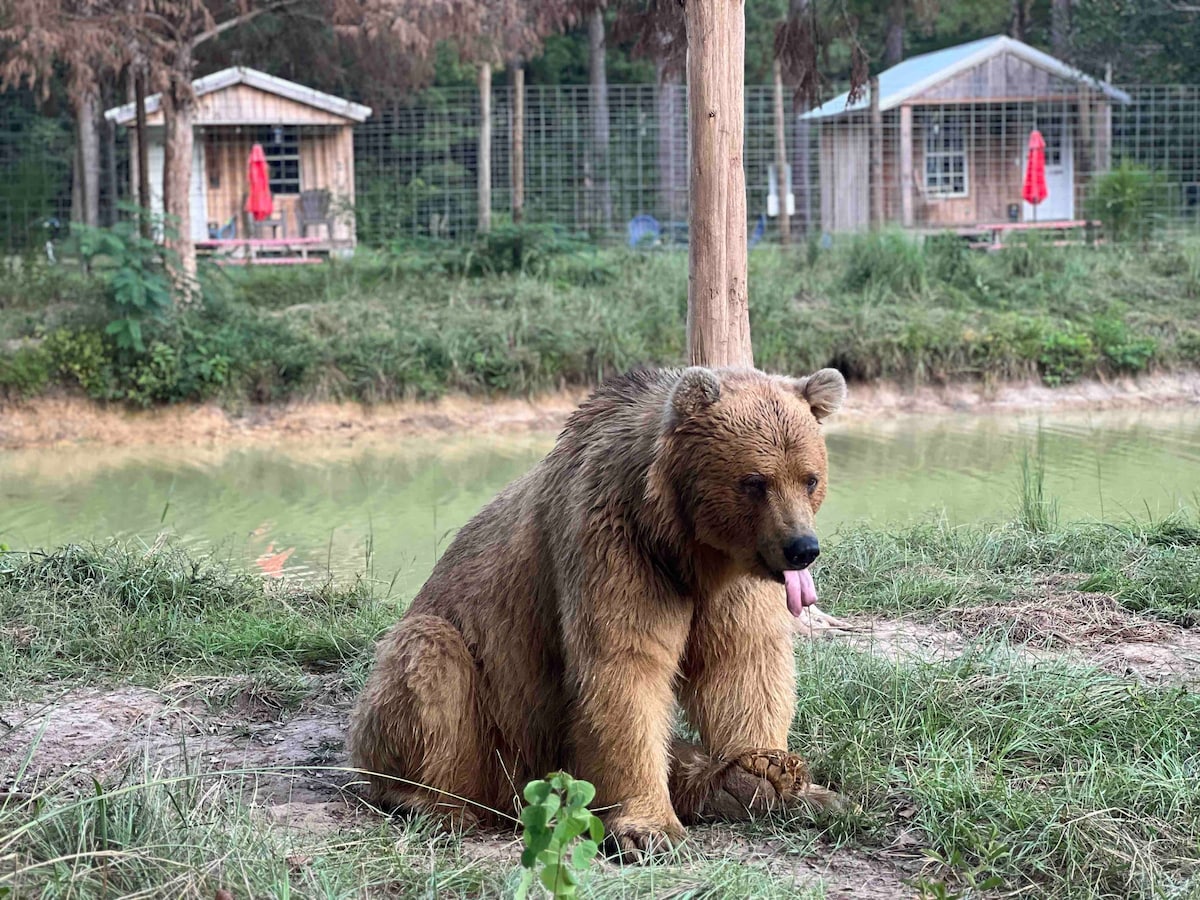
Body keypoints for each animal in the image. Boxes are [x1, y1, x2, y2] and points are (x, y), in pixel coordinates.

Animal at [350, 367, 849, 859]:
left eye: (809, 478)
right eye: (755, 481)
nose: (802, 548)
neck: (686, 549)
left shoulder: (734, 583)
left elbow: (742, 663)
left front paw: (768, 767)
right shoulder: (614, 545)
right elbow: (623, 671)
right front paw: (650, 831)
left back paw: (753, 788)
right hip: (491, 722)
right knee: (430, 661)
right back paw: (430, 802)